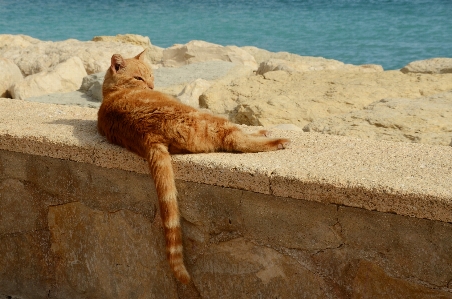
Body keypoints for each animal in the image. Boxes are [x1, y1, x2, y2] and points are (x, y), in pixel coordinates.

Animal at [97, 50, 292, 284]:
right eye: (138, 78)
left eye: (151, 75)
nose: (152, 86)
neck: (112, 93)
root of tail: (148, 134)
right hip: (213, 121)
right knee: (237, 140)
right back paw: (276, 140)